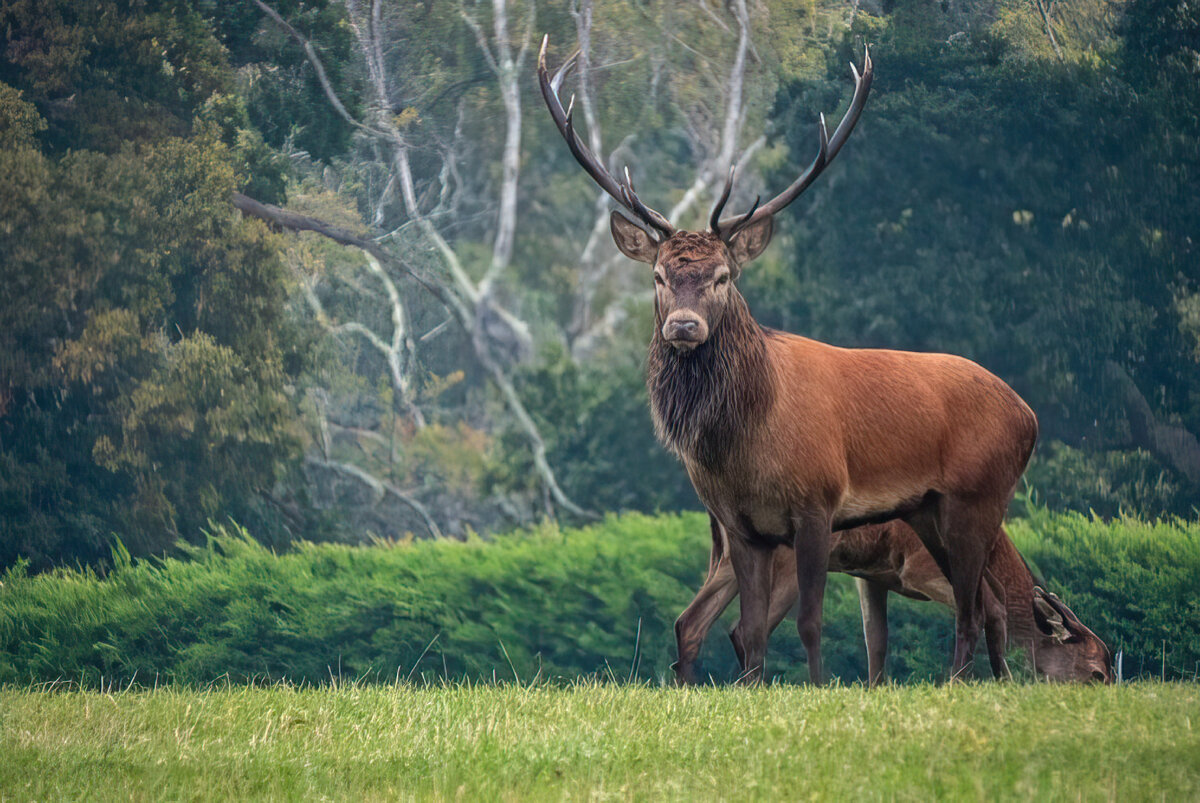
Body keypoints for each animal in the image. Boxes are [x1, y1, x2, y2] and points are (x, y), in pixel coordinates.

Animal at [540, 36, 1036, 676]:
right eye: (657, 276)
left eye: (723, 276)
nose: (684, 325)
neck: (746, 443)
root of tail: (1029, 415)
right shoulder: (741, 525)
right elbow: (750, 631)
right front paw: (751, 686)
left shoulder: (817, 505)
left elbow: (810, 622)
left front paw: (819, 686)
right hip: (929, 511)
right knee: (988, 604)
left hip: (979, 497)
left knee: (973, 608)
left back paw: (960, 683)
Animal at [672, 513, 1108, 681]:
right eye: (1097, 674)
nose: (1108, 688)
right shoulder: (918, 567)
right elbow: (992, 606)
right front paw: (999, 681)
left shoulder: (870, 575)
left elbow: (876, 640)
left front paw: (875, 689)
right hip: (783, 562)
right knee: (743, 628)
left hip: (729, 557)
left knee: (692, 621)